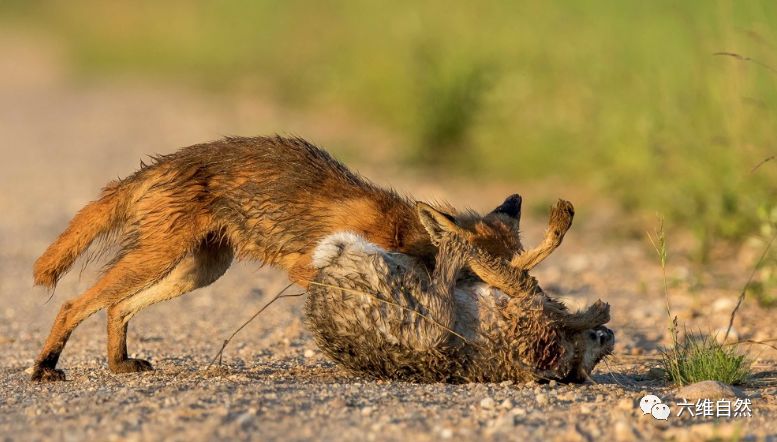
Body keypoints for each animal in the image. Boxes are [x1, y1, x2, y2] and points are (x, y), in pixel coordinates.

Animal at [31, 136, 540, 382]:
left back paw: (119, 364)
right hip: (159, 259)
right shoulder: (307, 264)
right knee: (75, 304)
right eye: (489, 273)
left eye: (524, 267)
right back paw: (45, 367)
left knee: (116, 306)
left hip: (198, 271)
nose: (532, 296)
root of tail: (154, 167)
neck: (403, 235)